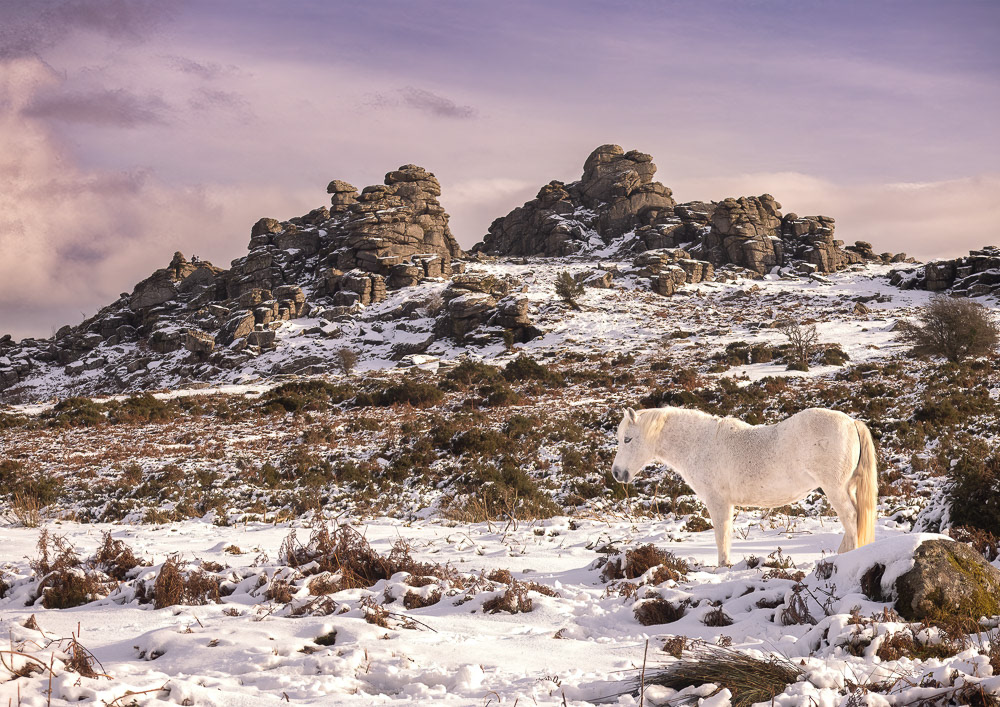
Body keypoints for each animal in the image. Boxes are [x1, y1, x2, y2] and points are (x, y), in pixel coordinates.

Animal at [610, 406, 877, 566]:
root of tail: (852, 422)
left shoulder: (718, 502)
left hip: (835, 489)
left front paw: (724, 566)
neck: (701, 444)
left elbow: (721, 536)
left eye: (628, 439)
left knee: (851, 518)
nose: (617, 473)